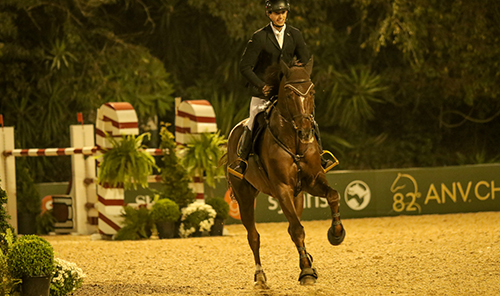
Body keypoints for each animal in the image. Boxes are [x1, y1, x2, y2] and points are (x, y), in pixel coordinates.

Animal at [225, 57, 346, 286]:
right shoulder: (282, 189)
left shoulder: (312, 181)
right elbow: (297, 230)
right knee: (254, 236)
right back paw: (260, 275)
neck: (294, 143)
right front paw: (306, 272)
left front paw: (336, 234)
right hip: (245, 197)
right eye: (289, 94)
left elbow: (333, 195)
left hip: (297, 196)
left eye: (312, 91)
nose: (305, 131)